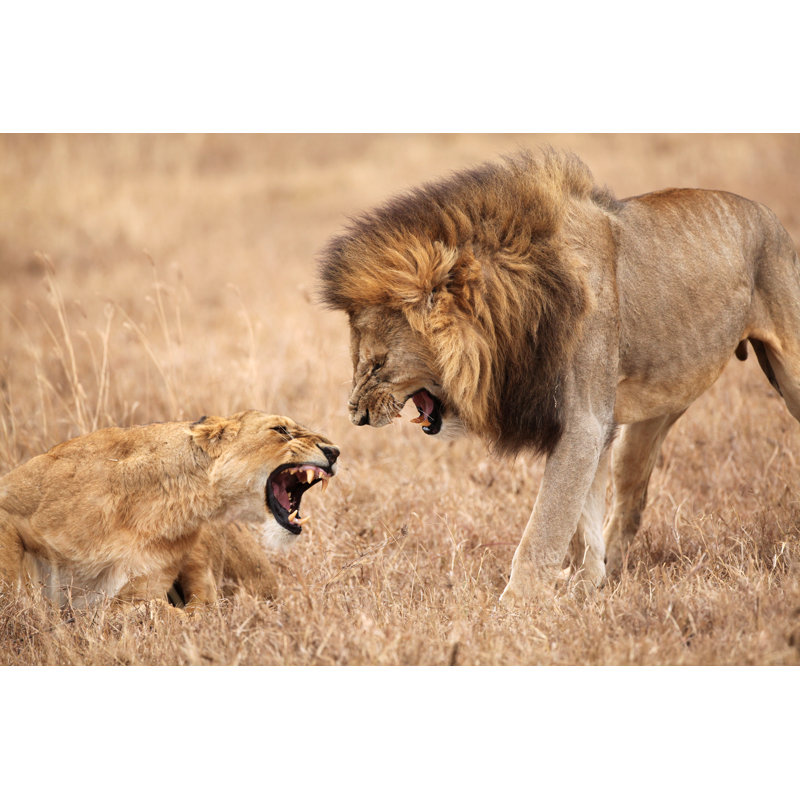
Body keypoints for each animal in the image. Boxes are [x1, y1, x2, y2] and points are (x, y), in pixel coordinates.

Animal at [319, 149, 800, 603]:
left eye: (377, 363)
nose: (356, 416)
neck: (519, 309)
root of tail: (771, 218)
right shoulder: (591, 427)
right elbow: (581, 518)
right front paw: (584, 588)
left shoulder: (584, 422)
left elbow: (545, 527)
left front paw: (513, 609)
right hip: (651, 415)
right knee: (630, 501)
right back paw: (614, 577)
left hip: (790, 372)